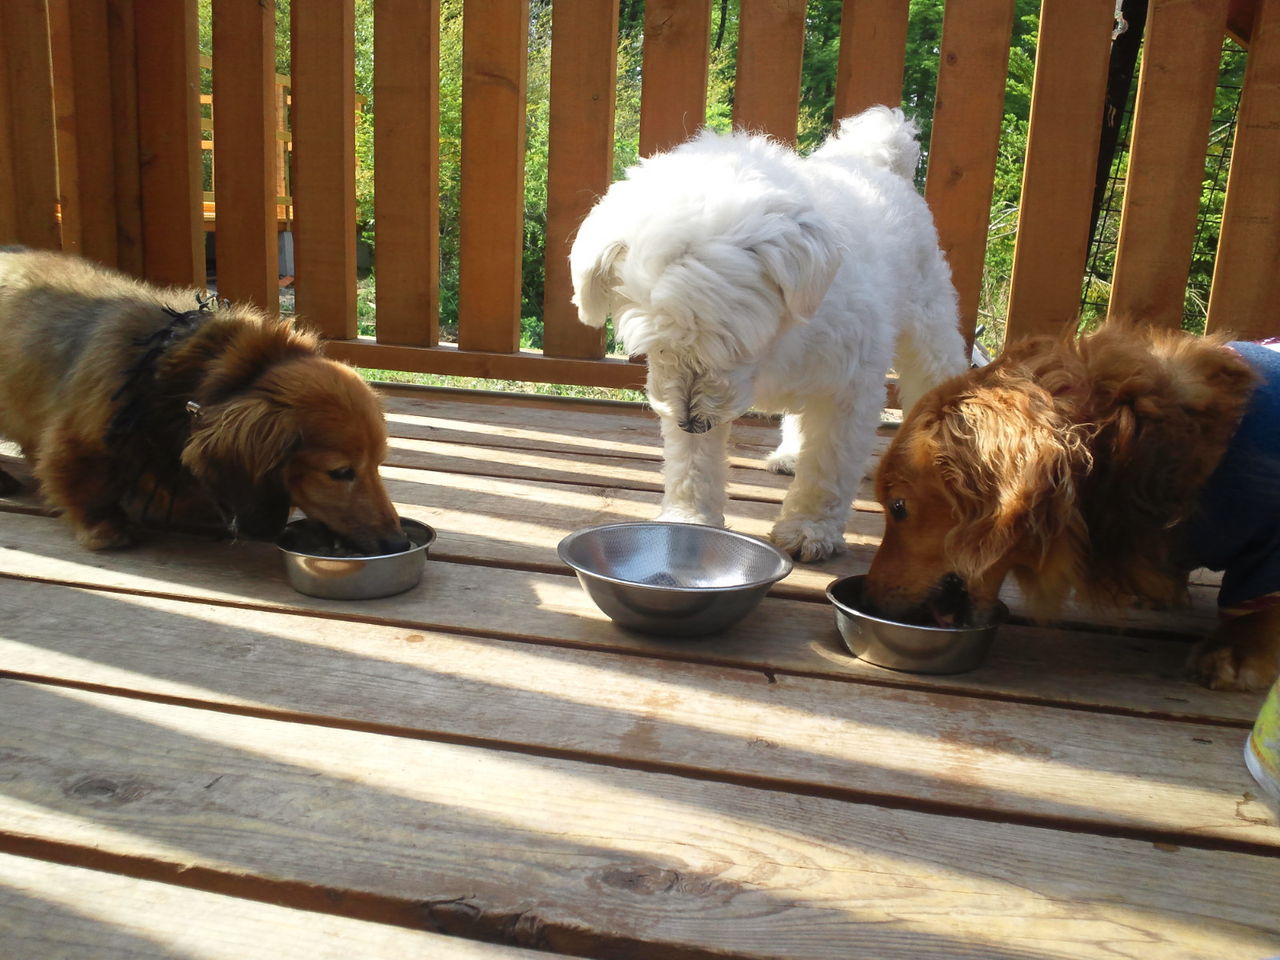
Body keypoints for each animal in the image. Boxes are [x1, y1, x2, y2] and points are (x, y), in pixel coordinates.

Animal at [0, 248, 408, 554]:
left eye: (377, 465)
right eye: (340, 473)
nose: (398, 543)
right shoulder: (82, 436)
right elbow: (80, 480)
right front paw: (103, 526)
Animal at [569, 107, 968, 561]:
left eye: (733, 343)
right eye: (658, 348)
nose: (692, 423)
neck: (778, 344)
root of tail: (879, 159)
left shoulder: (848, 389)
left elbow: (827, 465)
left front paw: (809, 528)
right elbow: (692, 463)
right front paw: (689, 519)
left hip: (929, 327)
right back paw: (792, 454)